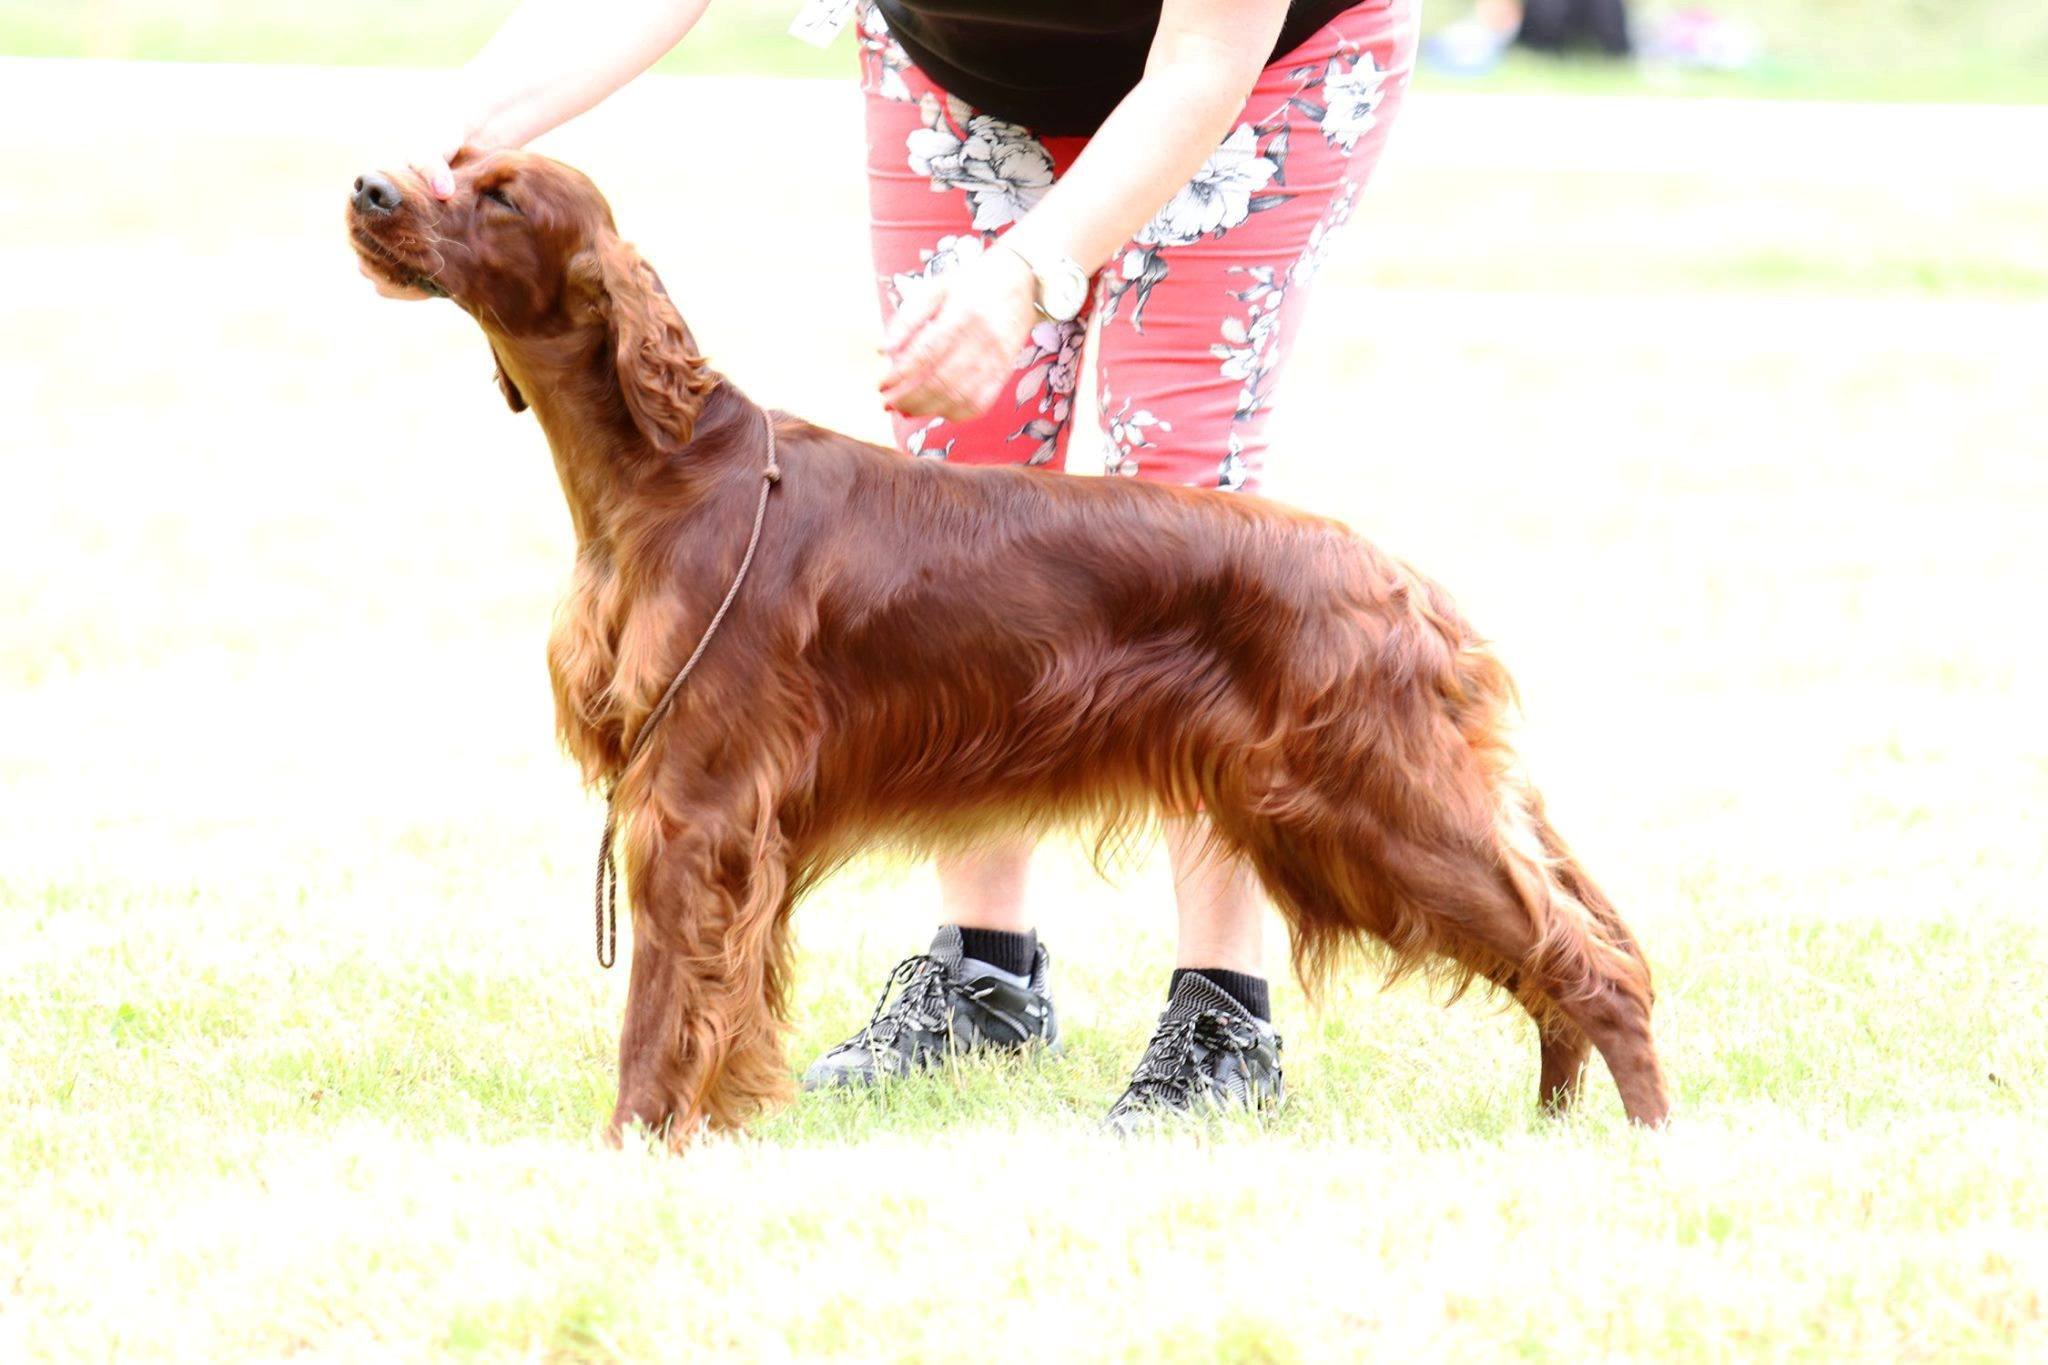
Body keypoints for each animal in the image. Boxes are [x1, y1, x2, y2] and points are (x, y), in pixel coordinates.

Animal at [348, 149, 1662, 1146]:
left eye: (500, 196)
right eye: (451, 161)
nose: (368, 185)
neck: (671, 475)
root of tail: (1405, 588)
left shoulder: (692, 804)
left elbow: (662, 1009)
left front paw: (634, 1143)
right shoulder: (730, 829)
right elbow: (729, 1004)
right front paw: (714, 1128)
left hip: (1370, 810)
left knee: (1594, 965)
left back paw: (1644, 1145)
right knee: (1562, 958)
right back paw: (1553, 1126)